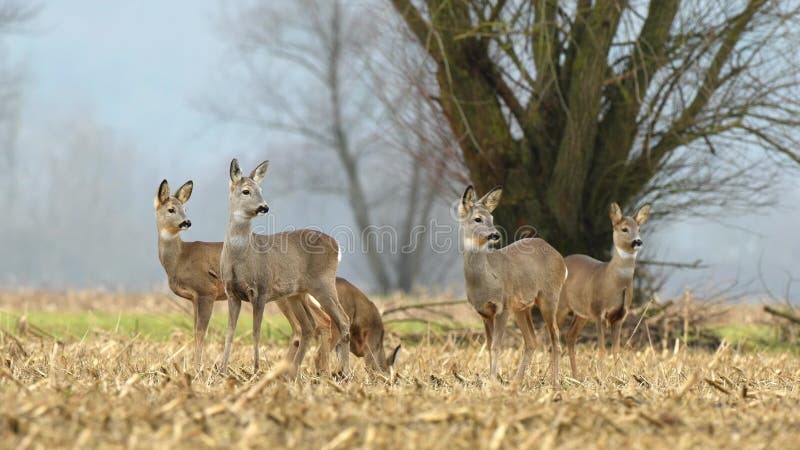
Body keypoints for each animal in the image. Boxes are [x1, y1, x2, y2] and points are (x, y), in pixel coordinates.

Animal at [219, 160, 350, 378]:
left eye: (261, 189)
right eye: (246, 191)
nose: (264, 207)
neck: (240, 256)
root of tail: (337, 245)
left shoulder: (261, 289)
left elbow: (256, 331)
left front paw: (256, 369)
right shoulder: (231, 292)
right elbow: (230, 332)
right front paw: (221, 369)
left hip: (323, 283)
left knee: (343, 320)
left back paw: (343, 373)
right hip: (297, 293)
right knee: (310, 326)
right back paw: (295, 372)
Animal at [456, 185, 568, 388]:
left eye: (492, 217)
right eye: (478, 218)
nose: (495, 234)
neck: (486, 281)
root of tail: (562, 261)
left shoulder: (503, 305)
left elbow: (496, 345)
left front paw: (493, 381)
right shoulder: (484, 312)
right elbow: (489, 345)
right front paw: (493, 379)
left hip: (549, 296)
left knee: (555, 336)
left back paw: (555, 382)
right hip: (522, 307)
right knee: (531, 340)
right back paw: (516, 382)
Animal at [556, 202, 648, 378]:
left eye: (639, 229)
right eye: (624, 229)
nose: (638, 242)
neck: (613, 282)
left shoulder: (620, 316)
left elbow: (616, 351)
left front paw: (618, 378)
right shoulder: (598, 311)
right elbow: (602, 349)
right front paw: (602, 377)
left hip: (581, 313)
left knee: (570, 335)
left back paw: (575, 375)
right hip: (560, 305)